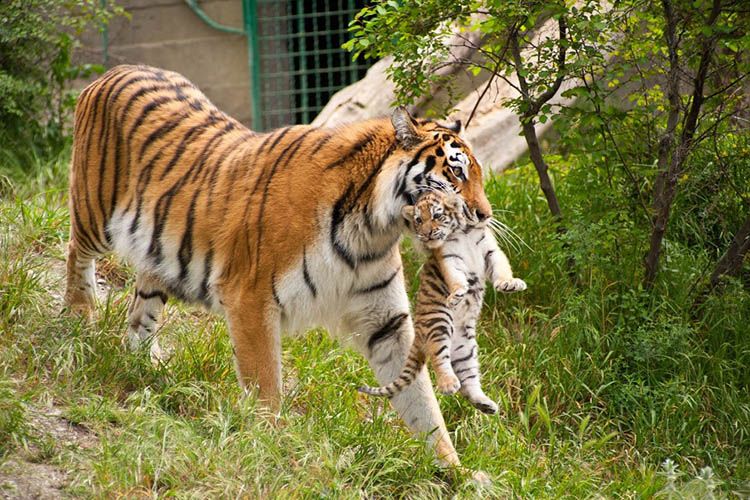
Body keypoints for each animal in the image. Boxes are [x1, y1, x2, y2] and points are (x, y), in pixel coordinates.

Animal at [64, 65, 496, 476]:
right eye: (456, 173)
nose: (485, 215)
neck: (371, 230)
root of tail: (114, 71)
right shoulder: (251, 299)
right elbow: (266, 382)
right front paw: (270, 443)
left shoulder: (386, 322)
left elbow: (420, 399)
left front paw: (455, 469)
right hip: (95, 215)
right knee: (76, 253)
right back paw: (78, 318)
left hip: (157, 251)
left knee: (142, 309)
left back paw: (144, 361)